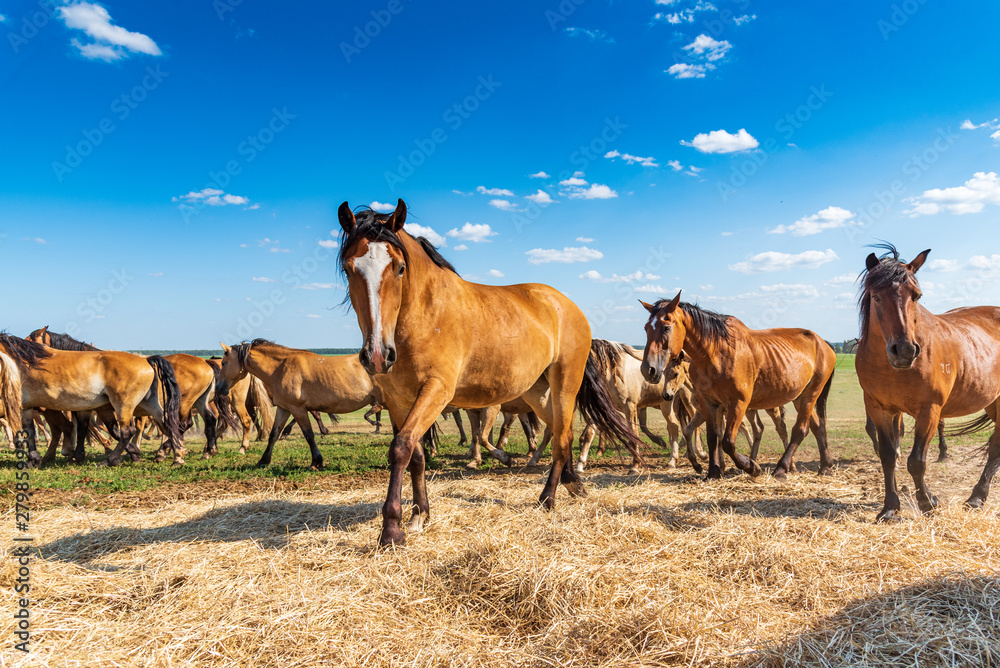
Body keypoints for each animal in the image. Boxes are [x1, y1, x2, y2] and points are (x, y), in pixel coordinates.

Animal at [217, 342, 384, 468]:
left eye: (224, 363)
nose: (218, 387)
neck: (281, 368)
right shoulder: (284, 408)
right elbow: (274, 434)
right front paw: (263, 461)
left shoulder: (297, 409)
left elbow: (309, 434)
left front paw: (316, 461)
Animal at [340, 201, 644, 544]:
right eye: (348, 269)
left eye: (400, 268)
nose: (377, 355)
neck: (424, 314)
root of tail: (567, 305)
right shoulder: (397, 401)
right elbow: (415, 454)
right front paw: (419, 515)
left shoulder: (436, 391)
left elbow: (401, 448)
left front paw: (392, 529)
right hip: (536, 391)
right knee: (558, 432)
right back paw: (573, 483)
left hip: (565, 383)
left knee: (563, 437)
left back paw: (548, 498)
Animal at [640, 292, 836, 480]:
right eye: (646, 328)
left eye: (666, 327)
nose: (648, 370)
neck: (715, 354)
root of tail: (823, 343)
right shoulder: (708, 403)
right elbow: (713, 438)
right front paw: (713, 472)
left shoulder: (737, 403)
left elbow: (727, 442)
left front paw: (752, 467)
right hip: (799, 397)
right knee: (817, 427)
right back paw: (825, 466)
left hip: (810, 395)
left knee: (799, 430)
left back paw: (781, 468)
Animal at [856, 247, 1000, 520]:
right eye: (876, 297)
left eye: (917, 296)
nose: (904, 350)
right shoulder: (879, 409)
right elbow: (888, 457)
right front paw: (889, 508)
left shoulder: (929, 411)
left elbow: (916, 461)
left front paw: (926, 502)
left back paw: (976, 497)